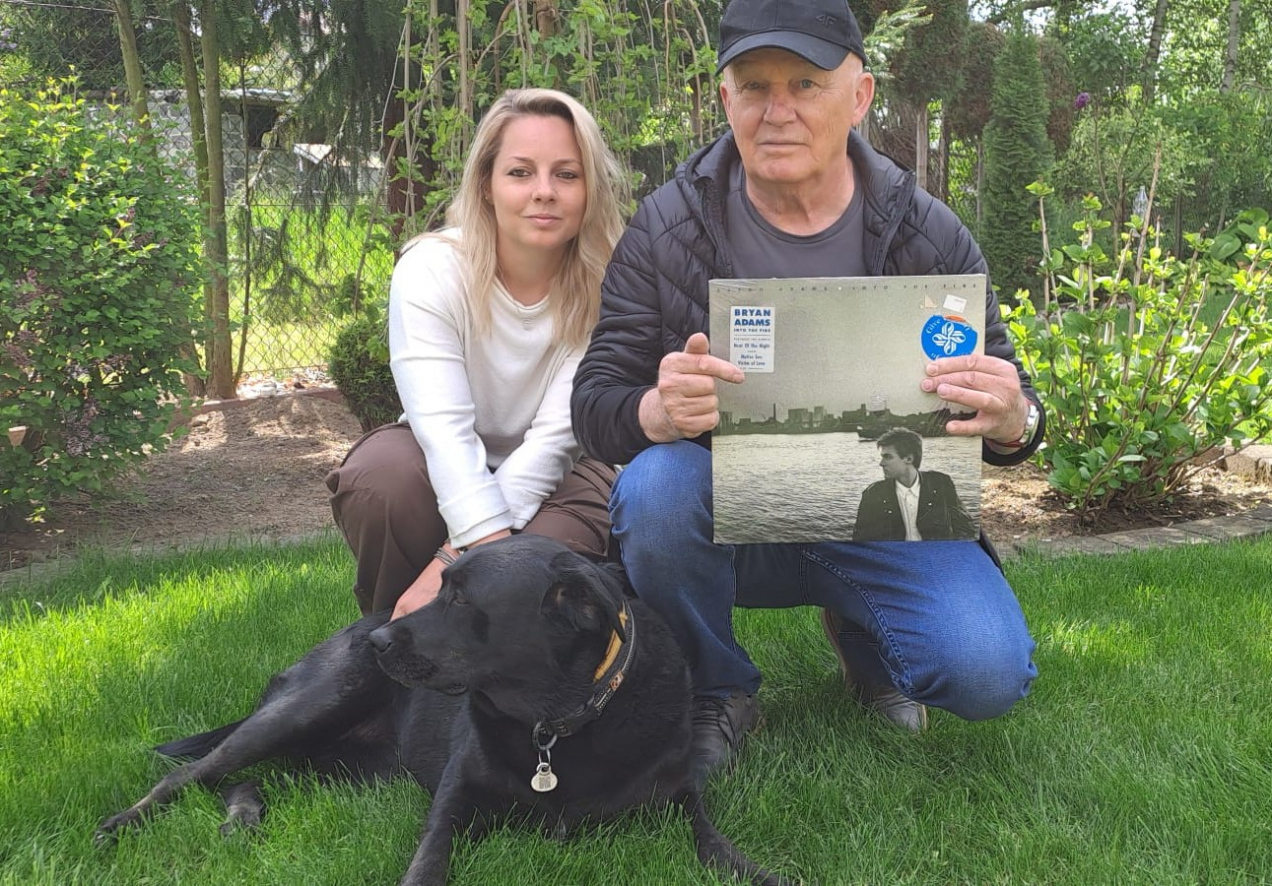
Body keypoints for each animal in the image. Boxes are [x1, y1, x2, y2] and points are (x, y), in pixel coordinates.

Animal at [96, 535, 789, 886]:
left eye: (461, 598)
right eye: (442, 587)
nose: (378, 643)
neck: (555, 726)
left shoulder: (679, 800)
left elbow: (719, 848)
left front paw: (762, 872)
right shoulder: (453, 803)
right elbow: (429, 860)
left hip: (353, 768)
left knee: (254, 779)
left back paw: (242, 819)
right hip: (310, 707)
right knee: (193, 774)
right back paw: (122, 823)